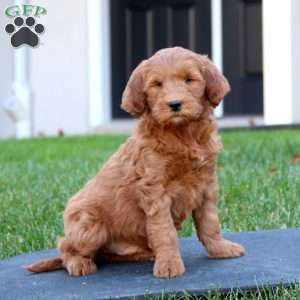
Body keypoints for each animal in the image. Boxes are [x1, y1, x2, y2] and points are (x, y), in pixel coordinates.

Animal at [26, 47, 244, 278]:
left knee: (104, 254)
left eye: (189, 79)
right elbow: (164, 230)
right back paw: (79, 263)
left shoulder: (206, 186)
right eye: (157, 84)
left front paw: (220, 249)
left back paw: (144, 255)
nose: (175, 104)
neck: (182, 135)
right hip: (88, 227)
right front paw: (169, 263)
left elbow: (210, 223)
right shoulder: (155, 190)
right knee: (66, 245)